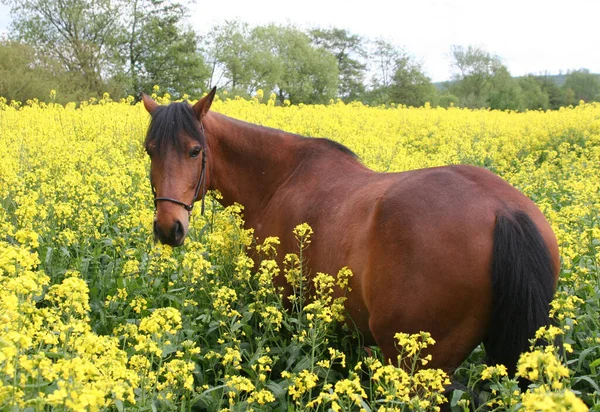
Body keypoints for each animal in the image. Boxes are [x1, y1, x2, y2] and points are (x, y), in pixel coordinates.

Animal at [141, 88, 556, 374]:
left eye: (195, 151)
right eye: (149, 149)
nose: (168, 228)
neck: (279, 180)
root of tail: (504, 211)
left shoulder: (286, 304)